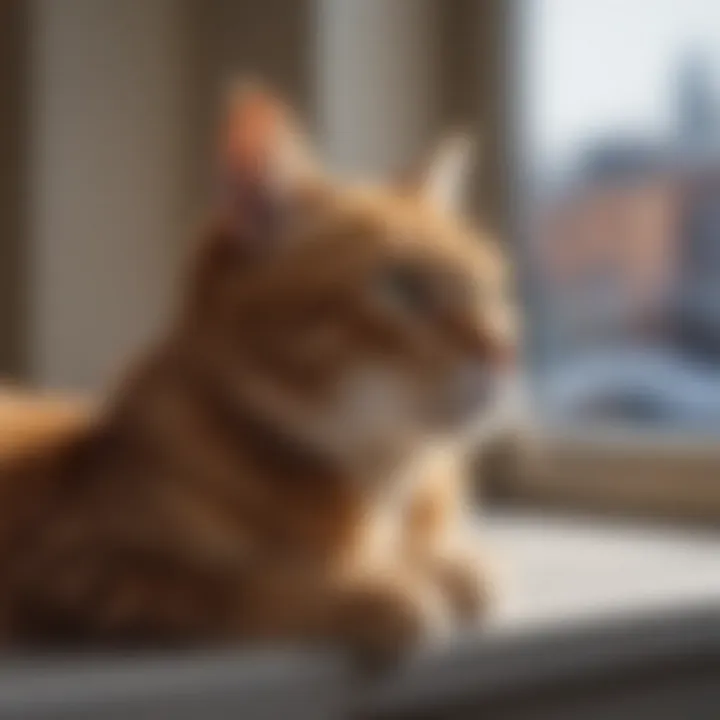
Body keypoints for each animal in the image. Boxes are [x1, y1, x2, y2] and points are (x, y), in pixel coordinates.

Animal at [0, 86, 516, 664]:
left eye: (491, 289)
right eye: (403, 287)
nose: (506, 350)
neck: (377, 490)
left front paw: (438, 567)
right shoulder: (80, 572)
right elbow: (248, 584)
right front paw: (374, 590)